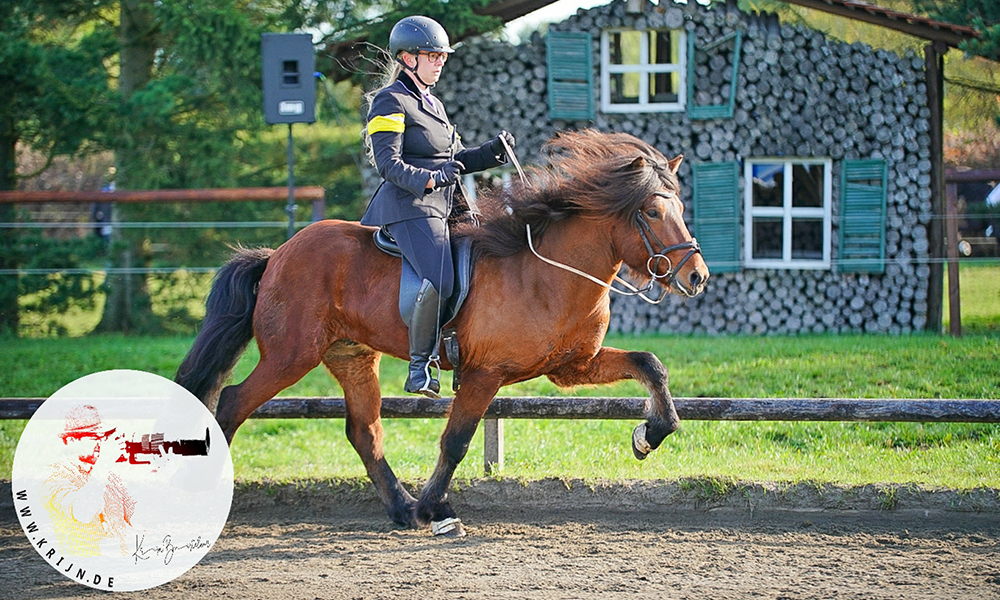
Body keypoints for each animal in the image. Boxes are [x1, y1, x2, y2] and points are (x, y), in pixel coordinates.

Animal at [178, 129, 712, 536]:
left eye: (682, 208)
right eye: (651, 212)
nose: (697, 277)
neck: (545, 273)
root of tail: (278, 254)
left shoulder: (571, 367)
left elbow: (651, 365)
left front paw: (650, 434)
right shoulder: (483, 374)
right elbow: (456, 441)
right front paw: (436, 507)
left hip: (351, 356)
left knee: (363, 430)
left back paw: (400, 509)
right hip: (290, 356)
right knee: (231, 404)